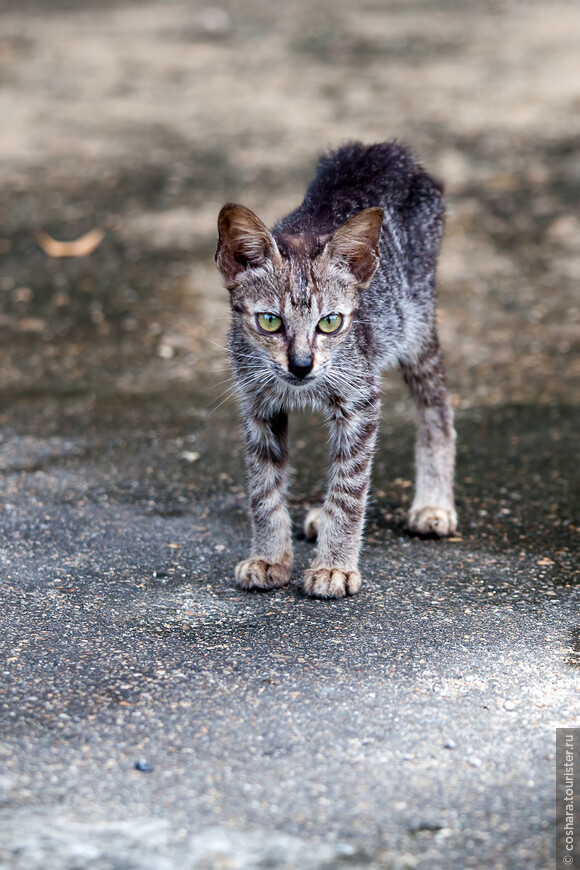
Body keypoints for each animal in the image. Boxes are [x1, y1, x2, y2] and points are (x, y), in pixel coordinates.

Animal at [215, 141, 456, 600]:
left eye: (330, 322)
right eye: (269, 321)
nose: (301, 364)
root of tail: (384, 148)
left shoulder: (361, 400)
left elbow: (349, 487)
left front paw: (334, 566)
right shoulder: (257, 403)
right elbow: (263, 489)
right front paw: (270, 557)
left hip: (414, 324)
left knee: (437, 410)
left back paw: (434, 503)